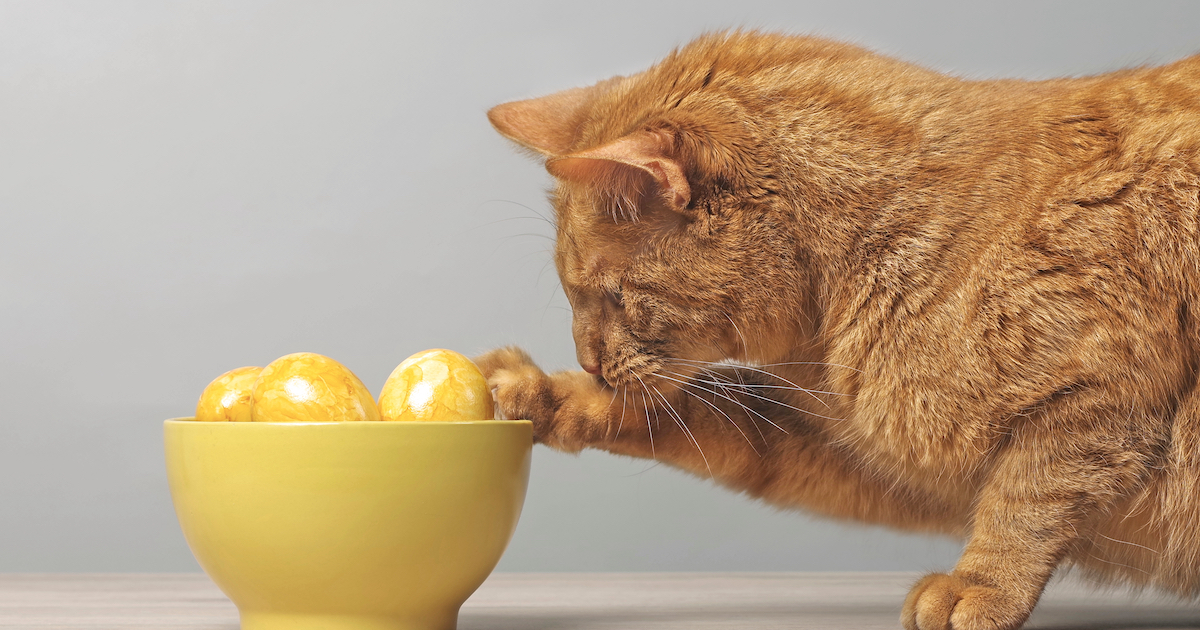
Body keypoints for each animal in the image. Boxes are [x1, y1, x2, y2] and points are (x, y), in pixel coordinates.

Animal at [475, 30, 1200, 628]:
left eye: (611, 297)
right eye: (573, 297)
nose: (588, 361)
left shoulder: (1102, 402)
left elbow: (1025, 504)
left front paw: (980, 586)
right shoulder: (881, 459)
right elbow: (708, 420)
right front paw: (543, 395)